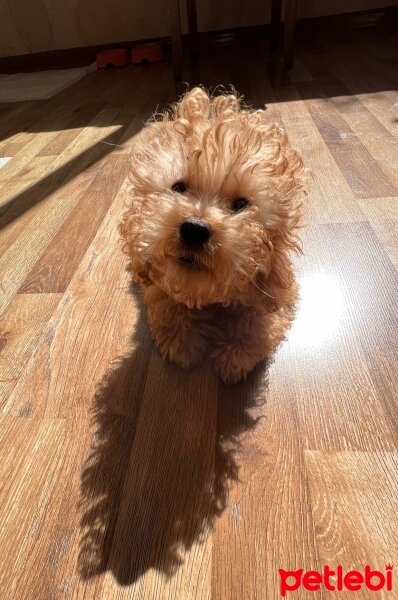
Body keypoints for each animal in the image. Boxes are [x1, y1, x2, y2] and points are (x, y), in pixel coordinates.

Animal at [119, 86, 306, 382]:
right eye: (179, 187)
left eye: (241, 204)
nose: (195, 229)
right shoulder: (155, 282)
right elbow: (168, 303)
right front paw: (182, 344)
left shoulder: (279, 288)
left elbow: (257, 318)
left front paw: (236, 355)